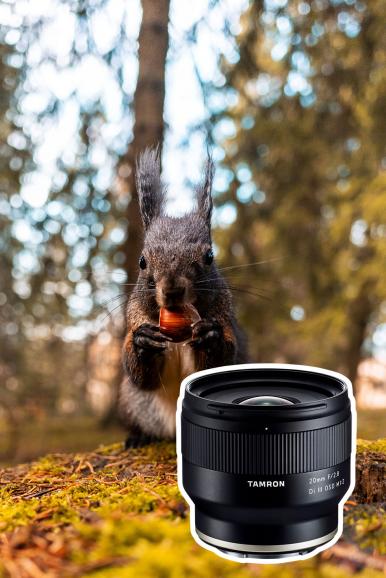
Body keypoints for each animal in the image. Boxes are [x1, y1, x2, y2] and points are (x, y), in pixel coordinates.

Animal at [119, 148, 249, 446]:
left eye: (209, 256)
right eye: (142, 261)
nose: (172, 291)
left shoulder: (225, 318)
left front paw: (210, 337)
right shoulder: (134, 317)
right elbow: (140, 375)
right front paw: (143, 341)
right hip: (131, 401)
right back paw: (138, 437)